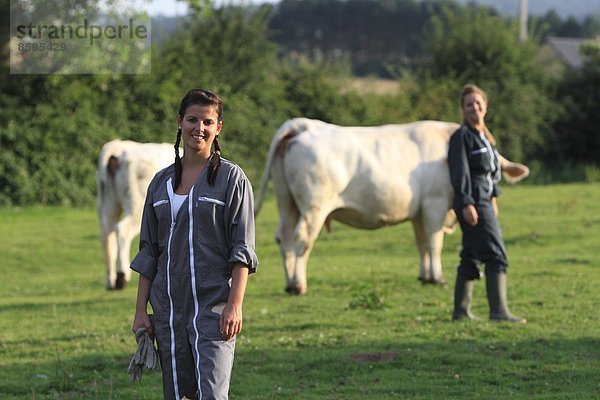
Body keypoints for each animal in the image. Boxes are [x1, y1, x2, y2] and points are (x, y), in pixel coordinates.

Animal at [96, 139, 175, 290]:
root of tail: (119, 148)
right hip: (137, 205)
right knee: (122, 230)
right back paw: (122, 277)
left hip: (108, 203)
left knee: (107, 236)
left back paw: (110, 280)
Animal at [255, 118, 528, 294]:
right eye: (489, 168)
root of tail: (303, 125)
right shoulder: (435, 203)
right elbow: (434, 242)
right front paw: (438, 277)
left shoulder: (419, 211)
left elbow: (422, 243)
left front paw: (425, 276)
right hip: (314, 206)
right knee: (302, 239)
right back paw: (298, 285)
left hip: (286, 201)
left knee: (284, 237)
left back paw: (289, 282)